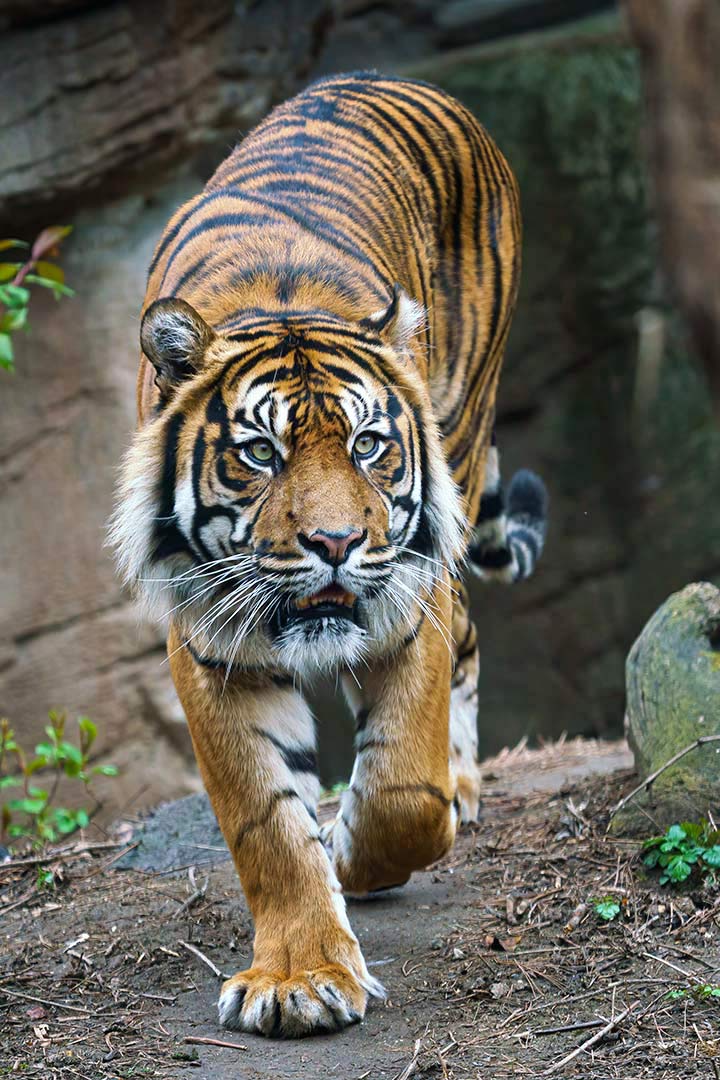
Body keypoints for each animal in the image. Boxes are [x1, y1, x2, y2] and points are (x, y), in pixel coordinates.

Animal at [110, 71, 547, 1038]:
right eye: (260, 452)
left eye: (368, 445)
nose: (337, 542)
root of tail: (393, 77)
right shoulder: (209, 642)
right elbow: (266, 822)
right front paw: (300, 979)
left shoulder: (409, 596)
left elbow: (402, 791)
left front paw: (356, 849)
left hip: (465, 442)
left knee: (466, 636)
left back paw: (462, 782)